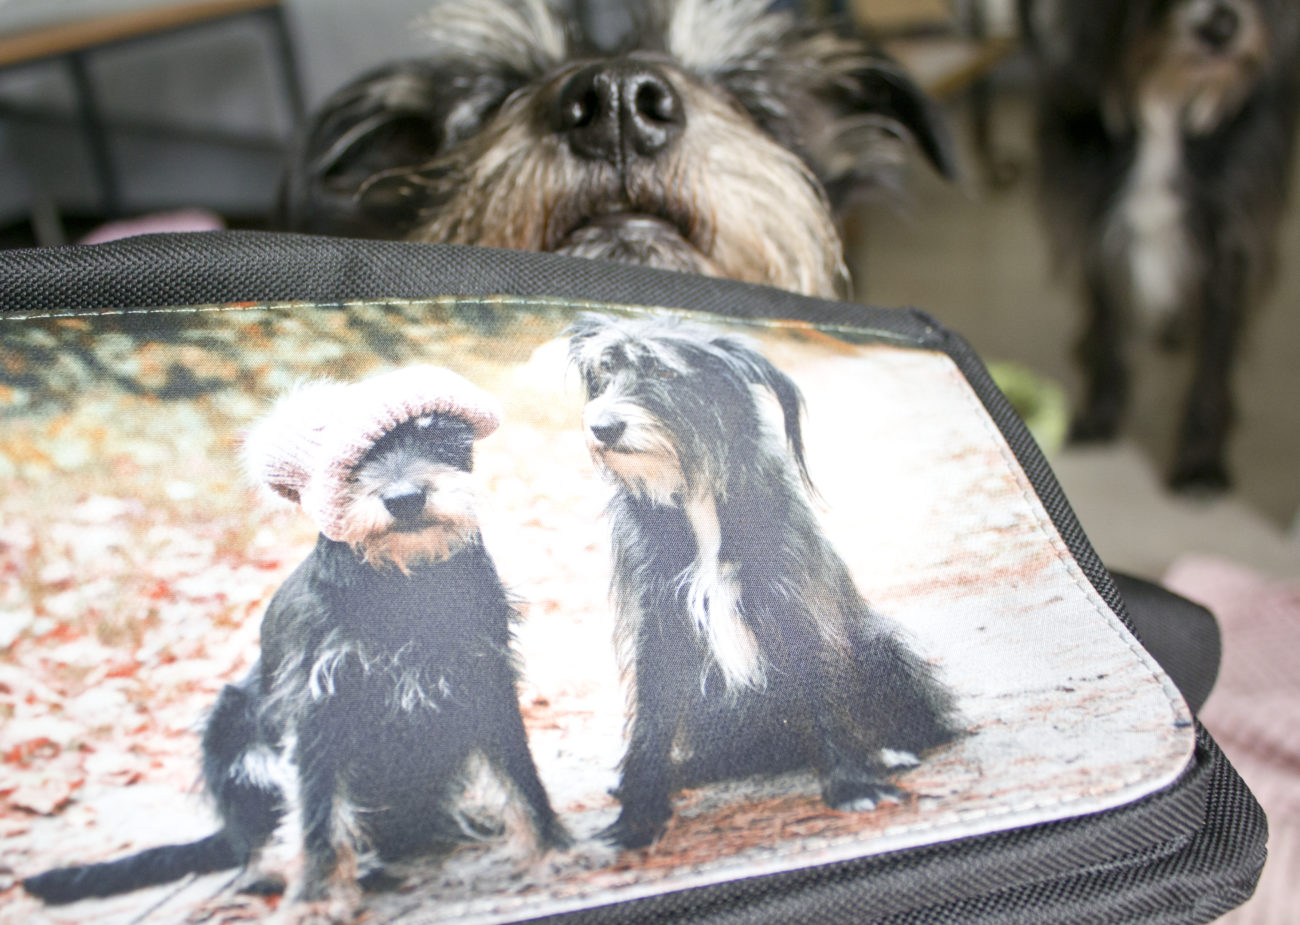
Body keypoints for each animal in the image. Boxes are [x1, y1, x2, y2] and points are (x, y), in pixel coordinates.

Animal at [24, 366, 569, 920]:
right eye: (349, 463)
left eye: (437, 432)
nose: (404, 498)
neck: (404, 580)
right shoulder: (317, 708)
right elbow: (317, 812)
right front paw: (317, 897)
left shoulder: (487, 677)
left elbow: (521, 774)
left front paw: (550, 849)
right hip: (228, 728)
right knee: (259, 837)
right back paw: (278, 868)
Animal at [566, 313, 959, 849]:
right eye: (604, 373)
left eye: (666, 373)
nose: (602, 426)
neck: (697, 498)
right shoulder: (657, 627)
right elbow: (649, 723)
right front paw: (637, 816)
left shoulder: (793, 606)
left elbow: (822, 695)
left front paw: (852, 784)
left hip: (881, 646)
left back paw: (890, 750)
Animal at [1020, 0, 1300, 491]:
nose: (1221, 28)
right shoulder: (1093, 218)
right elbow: (1108, 328)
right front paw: (1100, 417)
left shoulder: (1230, 238)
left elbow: (1212, 359)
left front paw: (1200, 462)